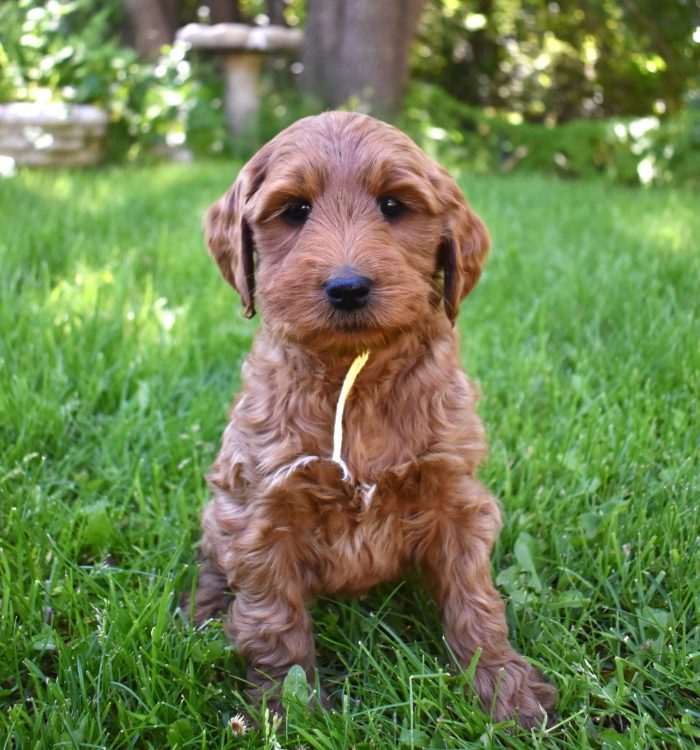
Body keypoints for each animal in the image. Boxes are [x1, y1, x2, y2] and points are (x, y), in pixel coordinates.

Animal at [187, 111, 556, 728]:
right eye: (295, 211)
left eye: (392, 206)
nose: (347, 287)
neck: (355, 372)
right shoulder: (264, 506)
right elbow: (273, 619)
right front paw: (286, 711)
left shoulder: (454, 494)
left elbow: (474, 597)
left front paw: (504, 687)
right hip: (223, 507)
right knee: (213, 562)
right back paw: (202, 613)